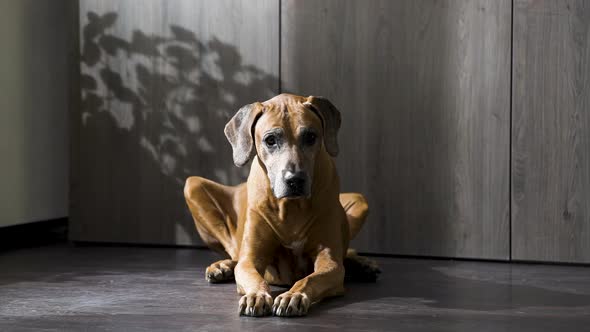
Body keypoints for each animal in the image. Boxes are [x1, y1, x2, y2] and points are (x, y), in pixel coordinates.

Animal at [184, 93, 380, 316]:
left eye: (310, 137)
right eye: (270, 140)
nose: (295, 180)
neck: (290, 207)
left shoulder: (330, 263)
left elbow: (311, 278)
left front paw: (293, 295)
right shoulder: (251, 259)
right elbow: (251, 272)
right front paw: (257, 295)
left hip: (360, 201)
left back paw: (362, 264)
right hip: (192, 185)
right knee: (236, 255)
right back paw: (221, 267)